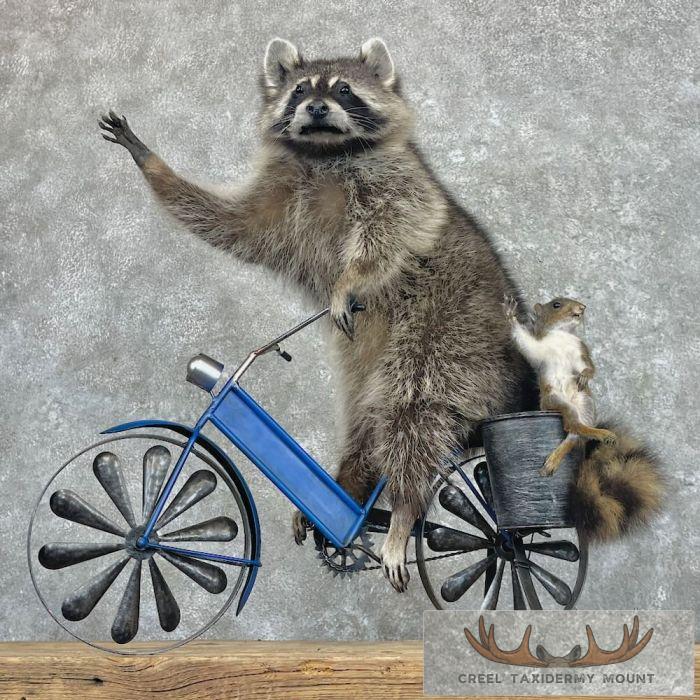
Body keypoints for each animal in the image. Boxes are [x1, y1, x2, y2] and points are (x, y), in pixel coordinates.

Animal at [99, 37, 537, 591]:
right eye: (301, 89)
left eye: (344, 90)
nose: (318, 107)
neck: (325, 152)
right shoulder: (278, 201)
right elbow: (228, 225)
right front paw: (151, 162)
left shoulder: (400, 181)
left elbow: (396, 226)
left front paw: (350, 280)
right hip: (374, 361)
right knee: (366, 422)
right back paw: (350, 483)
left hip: (449, 335)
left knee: (413, 412)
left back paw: (403, 510)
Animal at [504, 296, 663, 541]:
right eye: (556, 305)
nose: (582, 307)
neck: (562, 335)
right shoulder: (539, 348)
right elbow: (526, 343)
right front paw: (510, 313)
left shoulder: (580, 350)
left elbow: (588, 366)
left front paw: (586, 375)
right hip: (555, 400)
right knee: (572, 423)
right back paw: (595, 435)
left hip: (585, 402)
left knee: (575, 434)